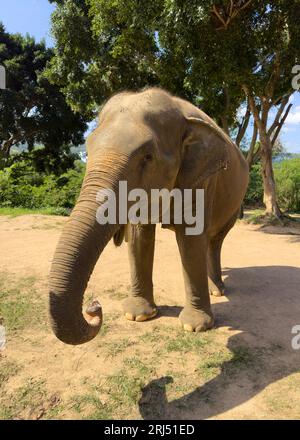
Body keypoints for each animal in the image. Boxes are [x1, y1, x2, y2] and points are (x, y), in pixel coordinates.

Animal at [48, 87, 248, 346]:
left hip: (236, 203)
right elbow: (139, 236)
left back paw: (217, 290)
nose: (94, 307)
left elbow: (191, 238)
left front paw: (195, 327)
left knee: (215, 240)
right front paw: (137, 315)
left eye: (148, 157)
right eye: (88, 149)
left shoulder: (202, 178)